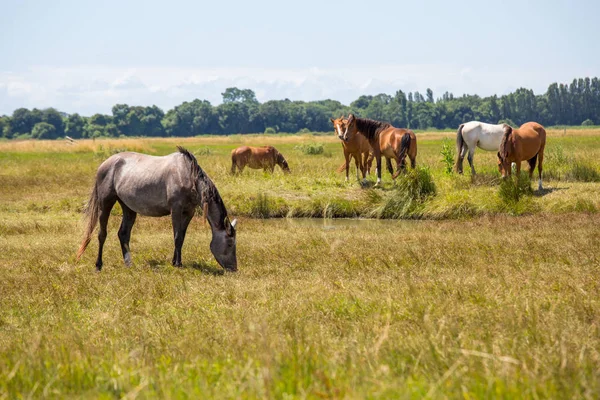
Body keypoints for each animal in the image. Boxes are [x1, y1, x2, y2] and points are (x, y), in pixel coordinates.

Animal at [77, 147, 239, 272]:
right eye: (230, 244)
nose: (233, 269)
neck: (188, 177)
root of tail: (104, 164)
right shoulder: (176, 209)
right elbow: (177, 236)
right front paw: (177, 264)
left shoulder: (189, 212)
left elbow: (182, 237)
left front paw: (175, 261)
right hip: (105, 203)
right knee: (102, 234)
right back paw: (98, 265)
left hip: (128, 207)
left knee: (123, 234)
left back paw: (129, 263)